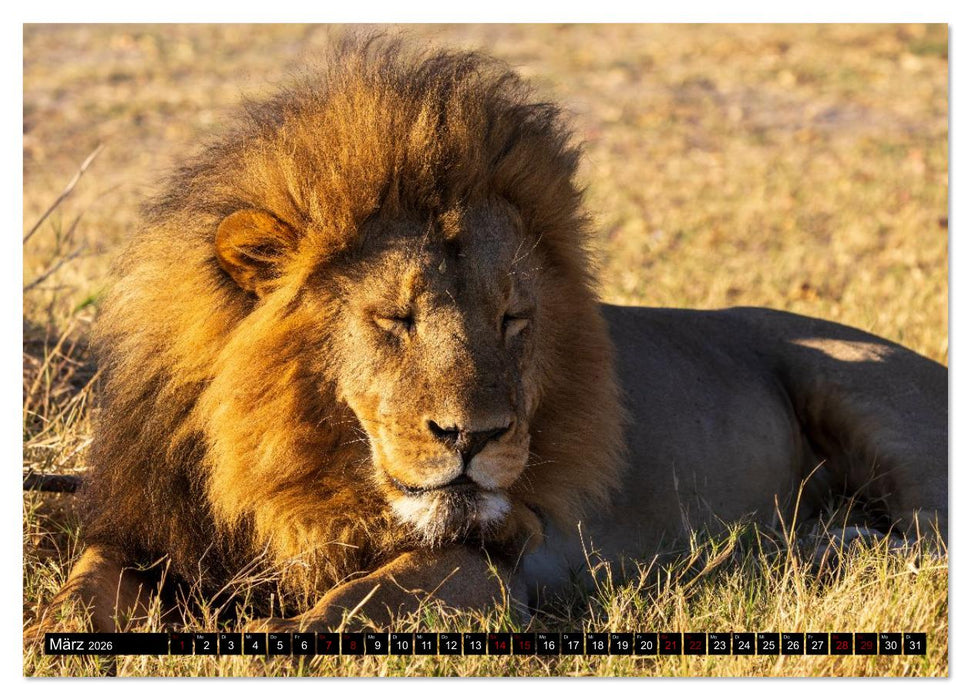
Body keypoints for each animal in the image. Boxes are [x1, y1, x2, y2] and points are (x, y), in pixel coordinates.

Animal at [39, 39, 946, 634]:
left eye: (511, 318)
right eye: (394, 318)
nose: (473, 438)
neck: (286, 469)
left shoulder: (493, 566)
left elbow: (353, 603)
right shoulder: (149, 532)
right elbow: (80, 594)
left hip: (859, 391)